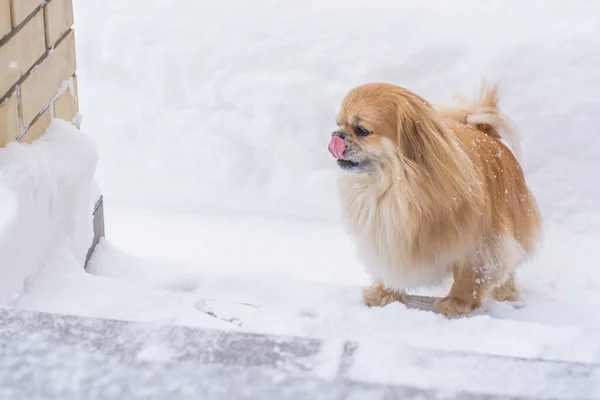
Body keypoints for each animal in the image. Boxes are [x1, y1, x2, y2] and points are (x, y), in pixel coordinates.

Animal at [328, 82, 544, 318]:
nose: (336, 134)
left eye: (362, 130)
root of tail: (487, 135)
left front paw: (457, 302)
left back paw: (506, 293)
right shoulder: (387, 236)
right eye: (338, 123)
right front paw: (384, 294)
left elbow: (469, 275)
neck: (396, 189)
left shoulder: (481, 242)